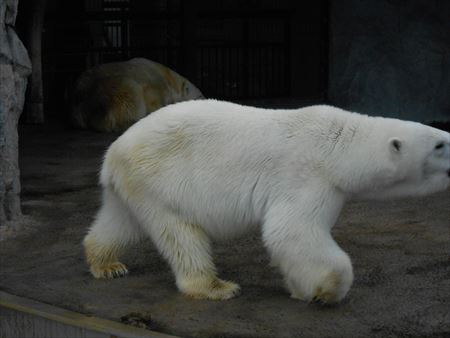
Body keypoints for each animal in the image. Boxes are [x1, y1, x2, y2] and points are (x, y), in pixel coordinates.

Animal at [81, 100, 450, 304]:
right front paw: (327, 290)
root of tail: (112, 154)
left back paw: (107, 264)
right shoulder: (305, 175)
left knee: (120, 223)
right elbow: (290, 231)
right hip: (162, 181)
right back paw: (216, 287)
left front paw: (302, 288)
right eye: (440, 144)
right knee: (181, 234)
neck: (338, 145)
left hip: (135, 187)